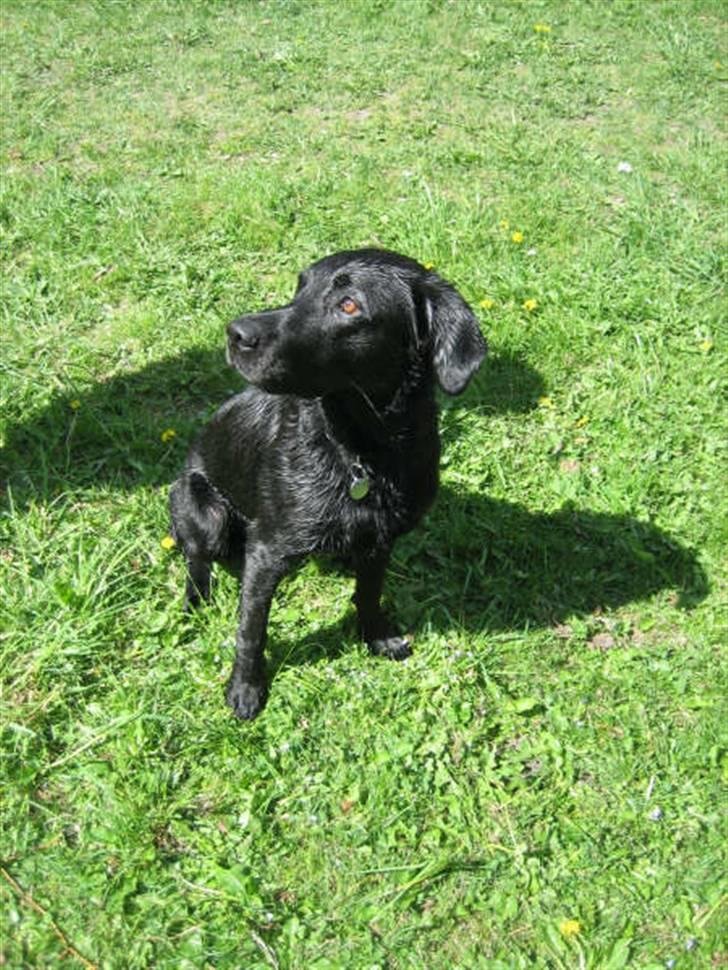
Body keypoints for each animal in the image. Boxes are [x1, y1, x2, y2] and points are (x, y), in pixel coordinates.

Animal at [171, 248, 486, 720]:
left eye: (349, 305)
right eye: (300, 288)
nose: (235, 333)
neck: (363, 451)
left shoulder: (381, 538)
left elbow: (369, 593)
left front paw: (377, 637)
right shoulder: (266, 551)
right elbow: (251, 629)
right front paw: (245, 688)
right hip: (203, 509)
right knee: (196, 561)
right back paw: (195, 602)